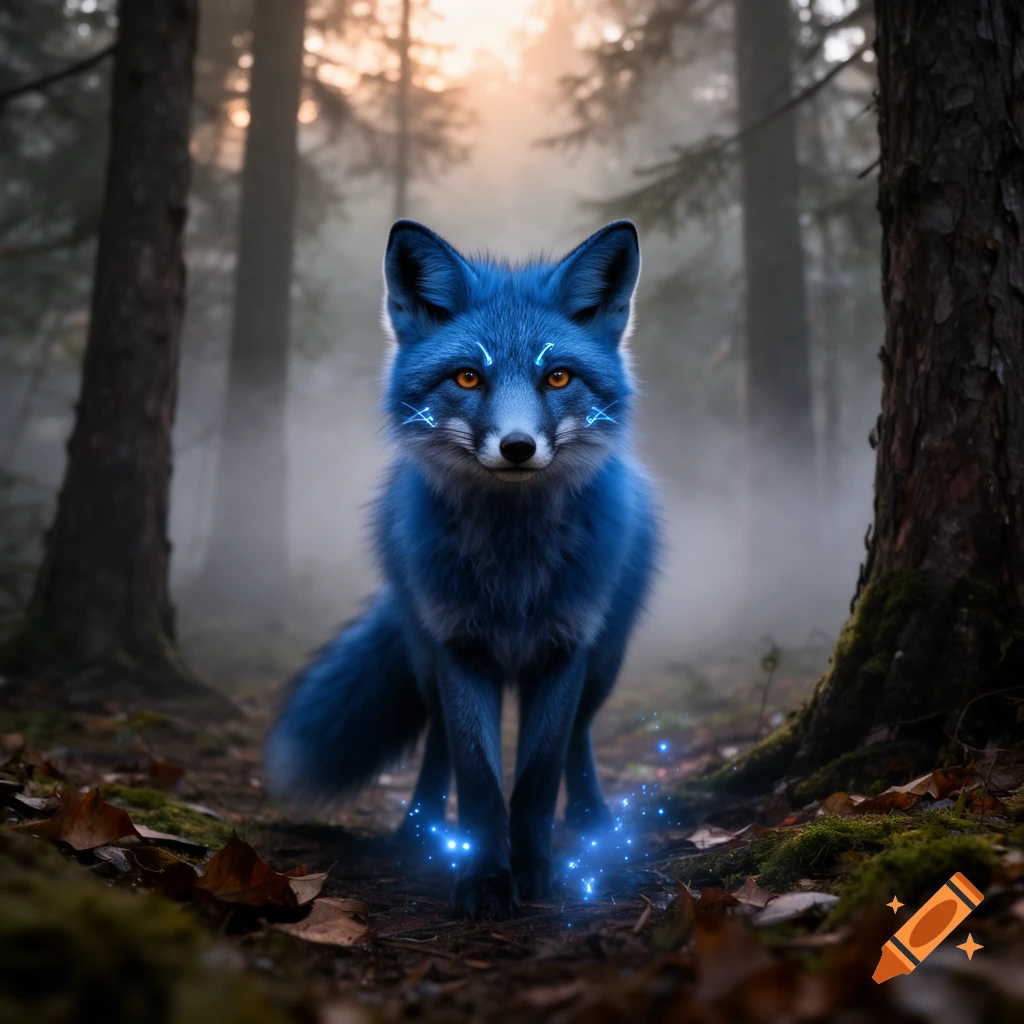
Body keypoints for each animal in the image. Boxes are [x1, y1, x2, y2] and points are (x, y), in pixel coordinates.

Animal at [265, 218, 659, 920]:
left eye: (558, 378)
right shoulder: (460, 647)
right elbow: (478, 781)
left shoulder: (565, 649)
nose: (518, 447)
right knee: (438, 746)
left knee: (581, 739)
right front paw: (482, 879)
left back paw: (591, 821)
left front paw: (536, 873)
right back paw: (418, 831)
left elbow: (536, 782)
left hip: (605, 661)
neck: (513, 570)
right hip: (425, 660)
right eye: (469, 379)